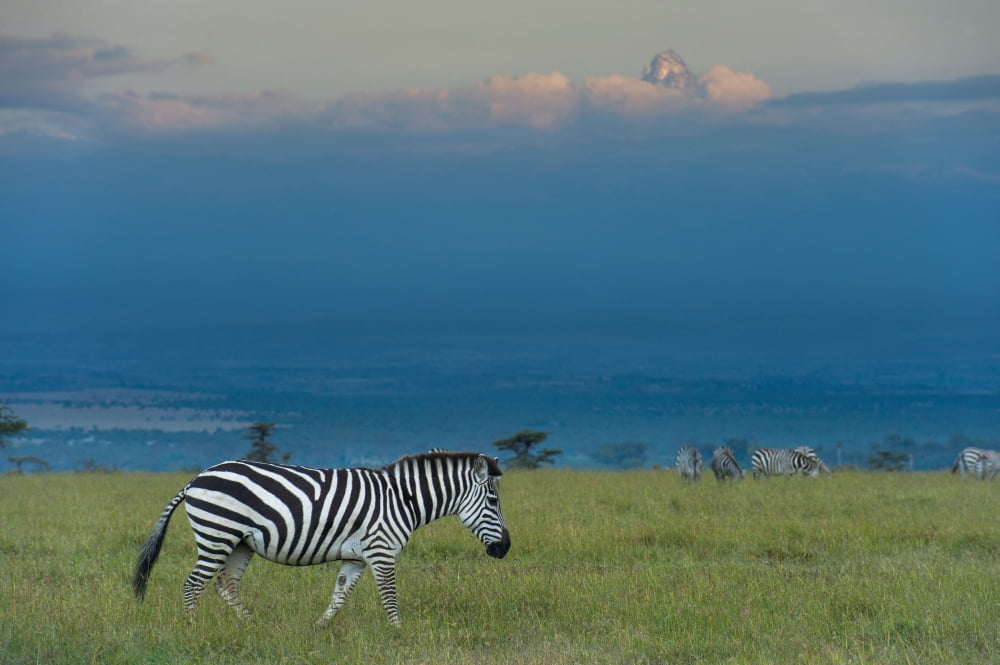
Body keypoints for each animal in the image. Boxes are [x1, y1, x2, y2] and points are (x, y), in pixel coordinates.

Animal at [132, 450, 510, 627]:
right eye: (493, 501)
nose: (505, 548)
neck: (402, 499)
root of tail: (195, 479)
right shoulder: (381, 551)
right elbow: (390, 596)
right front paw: (399, 632)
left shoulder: (356, 557)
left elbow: (339, 596)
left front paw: (318, 629)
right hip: (217, 534)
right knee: (193, 584)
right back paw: (192, 627)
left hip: (240, 543)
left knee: (225, 586)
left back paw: (253, 626)